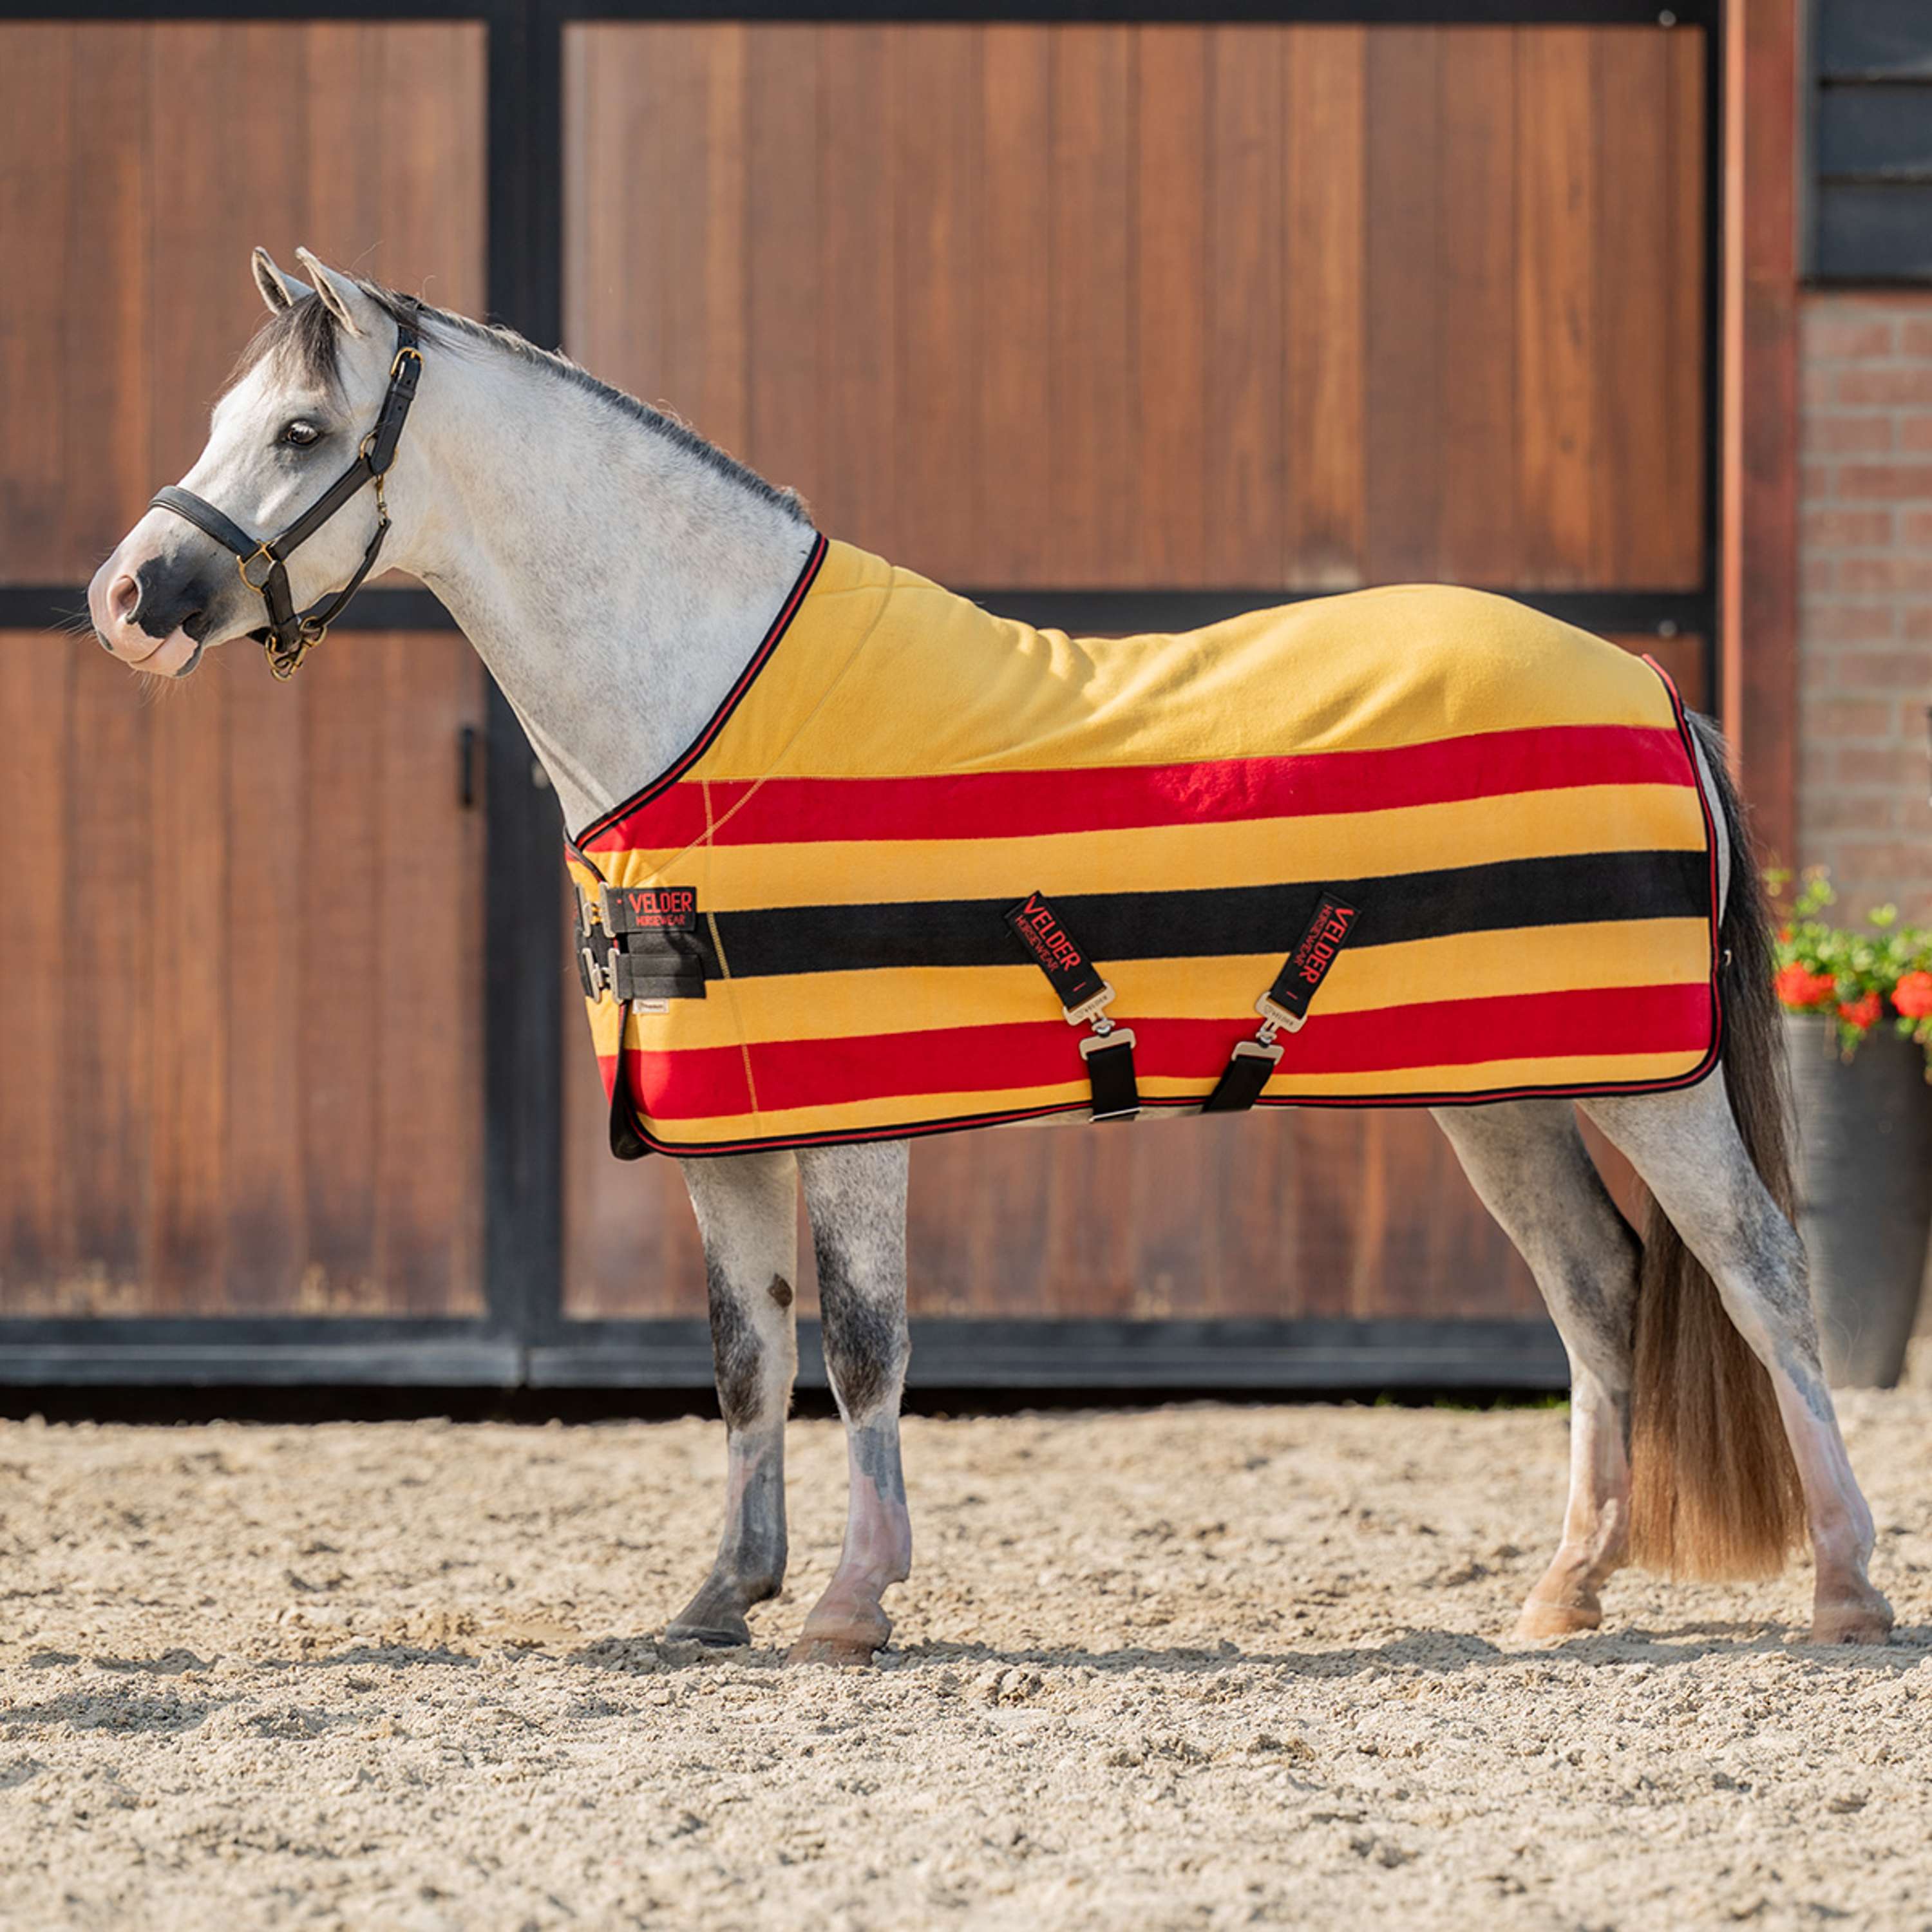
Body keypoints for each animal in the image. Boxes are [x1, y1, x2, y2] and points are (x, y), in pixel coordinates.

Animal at [86, 248, 1892, 1664]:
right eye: (223, 420)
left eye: (302, 432)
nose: (127, 598)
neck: (708, 707)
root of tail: (1651, 685)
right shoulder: (725, 1126)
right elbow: (745, 1351)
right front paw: (718, 1597)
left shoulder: (858, 1113)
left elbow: (861, 1342)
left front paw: (849, 1602)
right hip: (1499, 1084)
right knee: (1597, 1289)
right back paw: (1562, 1593)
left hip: (1643, 1083)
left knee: (1755, 1265)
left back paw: (1844, 1586)